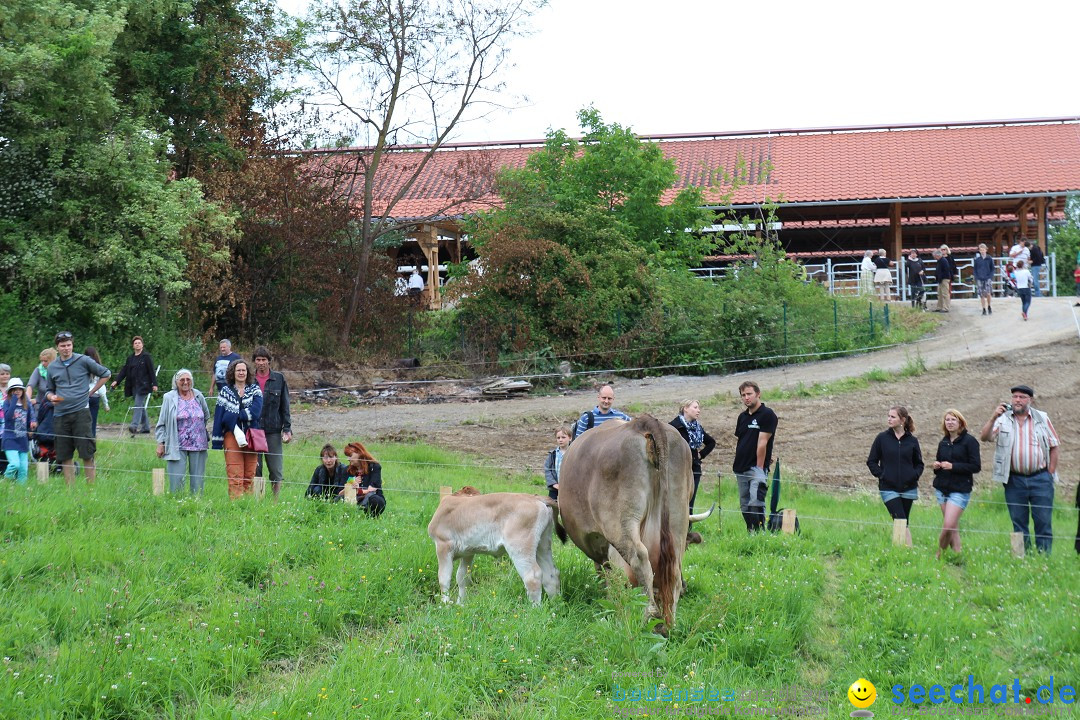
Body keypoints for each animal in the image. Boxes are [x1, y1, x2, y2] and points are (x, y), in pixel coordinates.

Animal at [427, 487, 570, 604]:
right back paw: (555, 604)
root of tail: (535, 497)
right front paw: (461, 604)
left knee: (532, 577)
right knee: (551, 574)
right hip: (543, 544)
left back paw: (534, 610)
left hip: (520, 546)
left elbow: (444, 578)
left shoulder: (443, 545)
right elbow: (462, 578)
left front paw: (445, 605)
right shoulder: (468, 552)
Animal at [557, 414, 708, 634]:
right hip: (677, 518)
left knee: (640, 559)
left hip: (622, 523)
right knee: (674, 573)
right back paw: (668, 624)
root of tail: (644, 422)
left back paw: (650, 617)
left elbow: (611, 579)